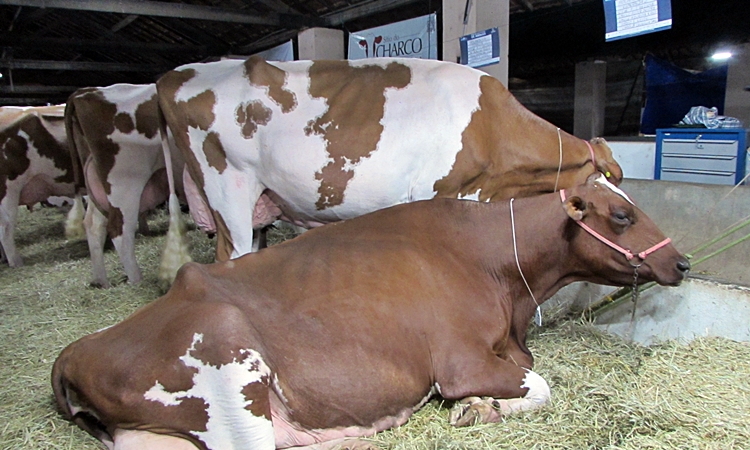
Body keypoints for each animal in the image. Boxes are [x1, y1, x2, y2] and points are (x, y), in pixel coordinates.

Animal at [52, 174, 690, 450]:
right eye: (622, 216)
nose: (682, 261)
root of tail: (74, 351)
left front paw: (482, 408)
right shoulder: (459, 359)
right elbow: (542, 386)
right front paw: (479, 408)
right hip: (230, 371)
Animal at [66, 84, 189, 288]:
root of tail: (85, 92)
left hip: (97, 184)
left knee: (94, 224)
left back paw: (102, 281)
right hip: (124, 182)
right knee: (120, 229)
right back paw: (137, 280)